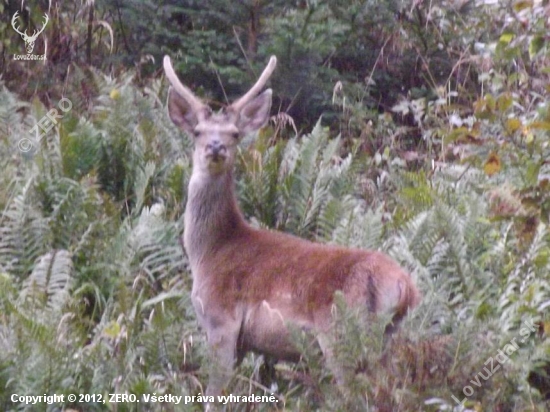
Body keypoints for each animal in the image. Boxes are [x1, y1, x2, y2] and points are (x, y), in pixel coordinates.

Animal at [164, 53, 422, 404]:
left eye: (235, 133)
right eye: (198, 131)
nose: (215, 147)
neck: (209, 251)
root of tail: (405, 287)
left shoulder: (221, 321)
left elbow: (214, 395)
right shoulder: (244, 342)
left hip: (340, 335)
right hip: (386, 340)